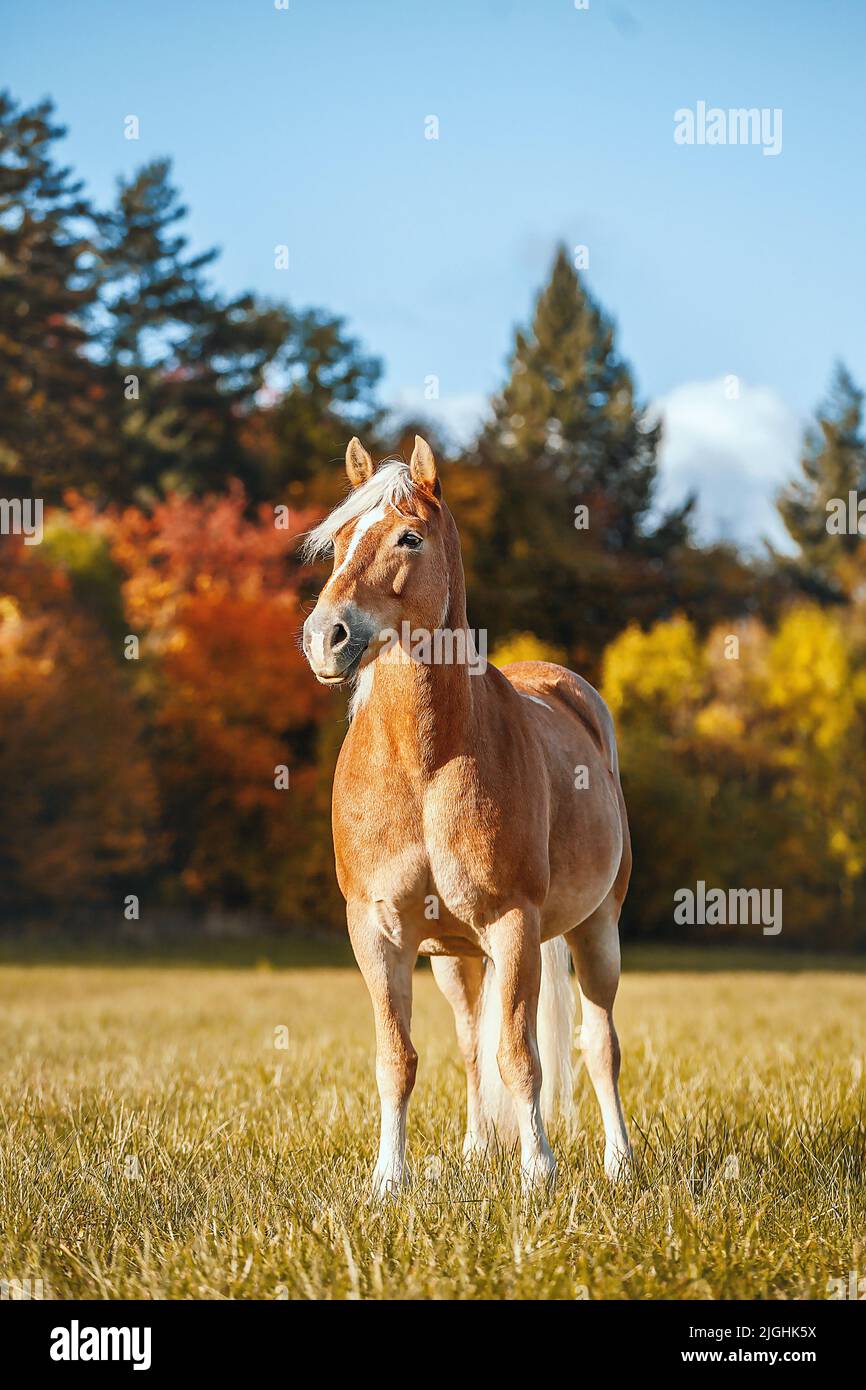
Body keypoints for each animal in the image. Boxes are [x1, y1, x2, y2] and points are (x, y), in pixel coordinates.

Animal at [303, 433, 631, 1195]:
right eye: (338, 540)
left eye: (409, 537)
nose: (325, 637)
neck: (424, 764)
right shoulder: (378, 934)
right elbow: (398, 1059)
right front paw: (389, 1180)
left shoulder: (514, 924)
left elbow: (521, 1055)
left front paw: (538, 1174)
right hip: (455, 957)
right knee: (469, 1043)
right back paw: (479, 1148)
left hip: (596, 929)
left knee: (600, 1045)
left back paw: (619, 1163)